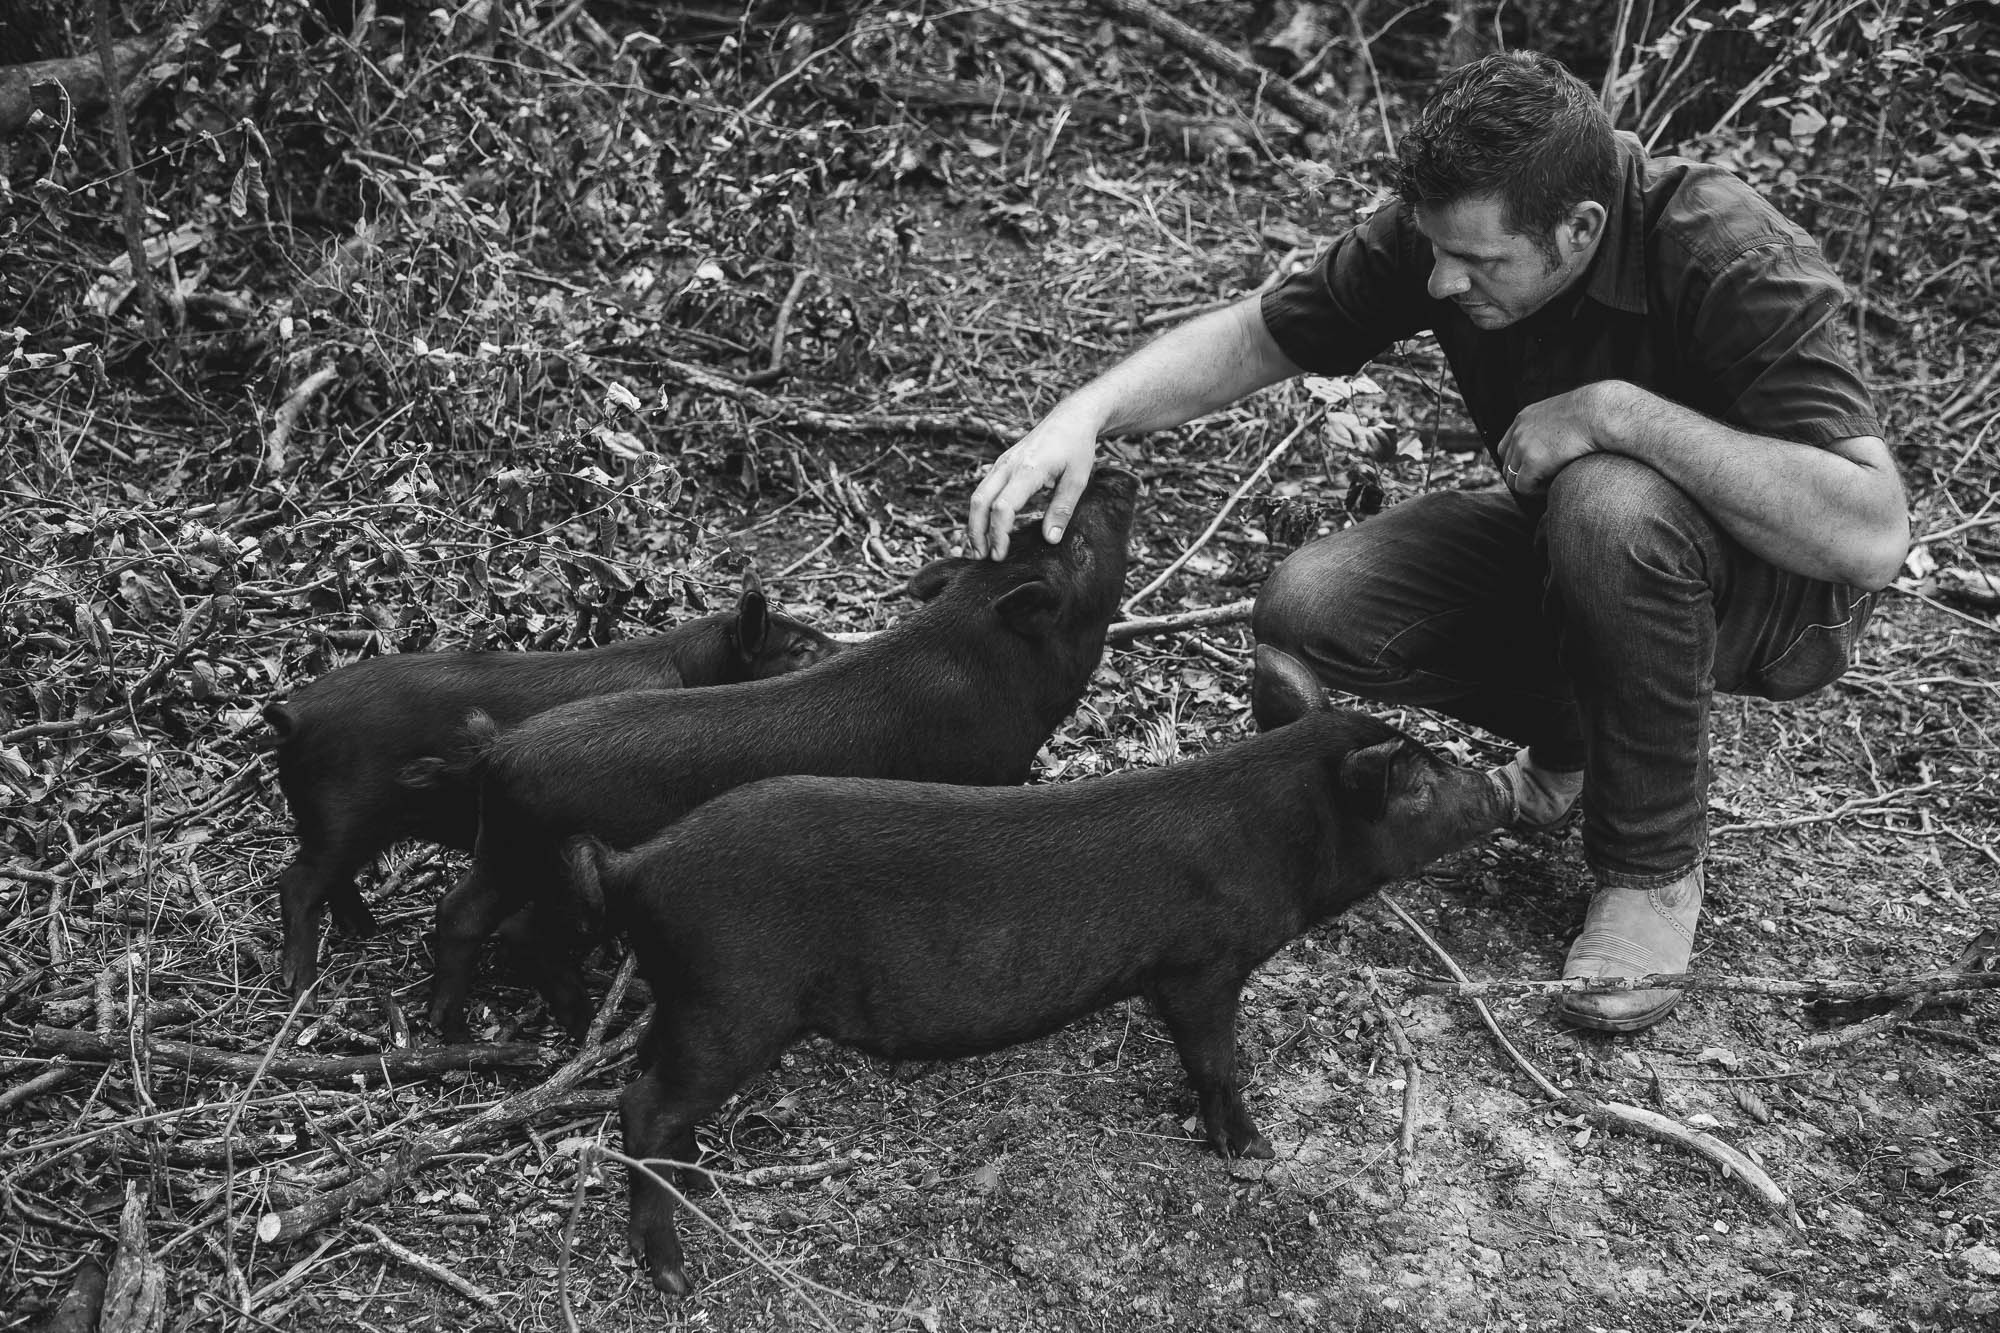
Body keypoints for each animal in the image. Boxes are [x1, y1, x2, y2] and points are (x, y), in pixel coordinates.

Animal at [260, 564, 836, 992]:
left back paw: (366, 930)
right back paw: (300, 984)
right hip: (342, 814)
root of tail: (294, 716)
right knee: (297, 882)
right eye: (798, 649)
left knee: (332, 878)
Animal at [426, 466, 1144, 1040]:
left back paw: (455, 1027)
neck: (994, 667)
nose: (1115, 473)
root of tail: (500, 751)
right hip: (550, 871)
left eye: (1030, 528)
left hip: (507, 853)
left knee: (464, 913)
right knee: (519, 932)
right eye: (1071, 543)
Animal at [572, 704, 1504, 1296]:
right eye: (1425, 779)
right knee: (639, 1102)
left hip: (685, 1000)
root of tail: (634, 864)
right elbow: (1215, 1058)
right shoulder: (1200, 965)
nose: (1497, 784)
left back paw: (696, 1176)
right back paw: (674, 1273)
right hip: (733, 1002)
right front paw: (1256, 1151)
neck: (1282, 840)